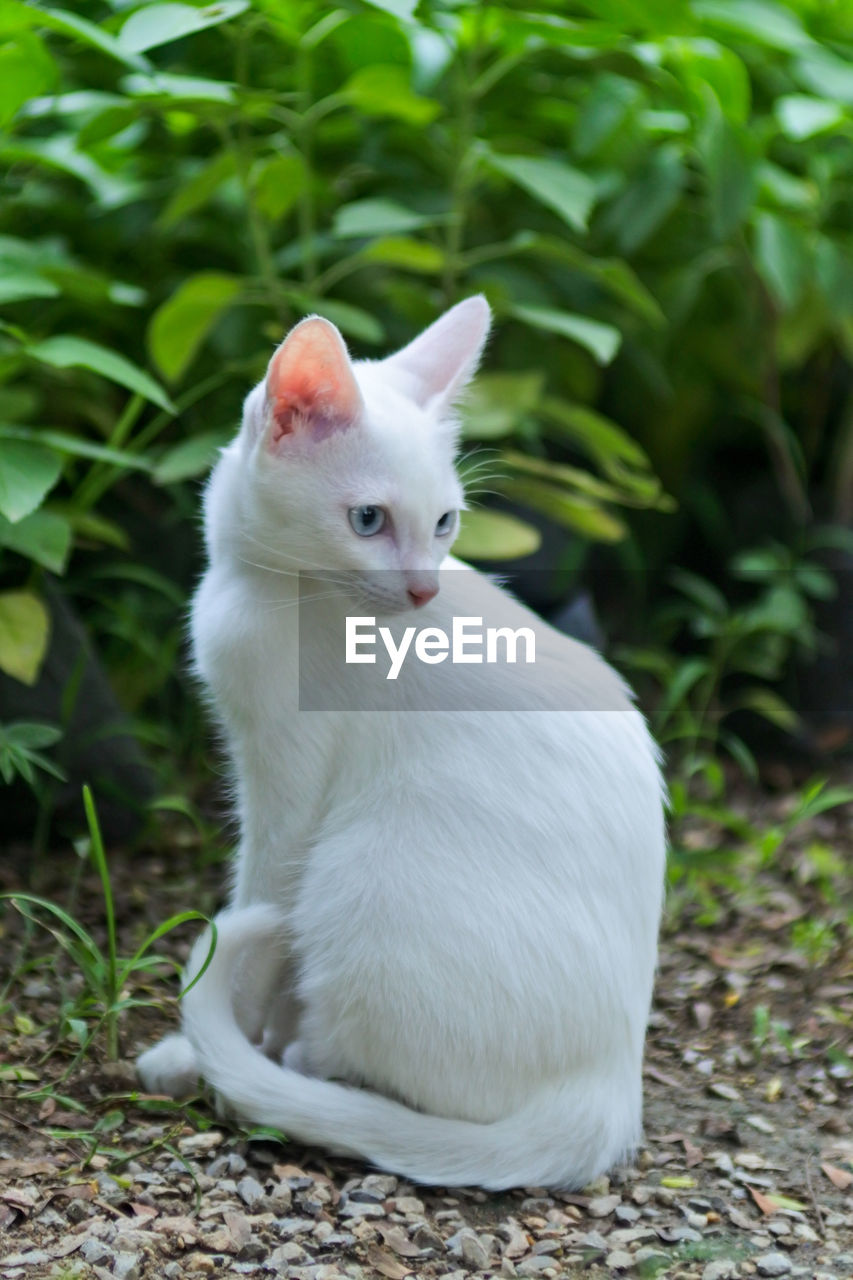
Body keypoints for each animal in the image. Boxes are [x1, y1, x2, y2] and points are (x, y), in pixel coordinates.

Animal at [137, 296, 666, 1187]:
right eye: (368, 520)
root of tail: (607, 1098)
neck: (268, 592)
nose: (422, 589)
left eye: (445, 522)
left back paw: (305, 1075)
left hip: (357, 874)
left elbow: (254, 918)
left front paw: (202, 1054)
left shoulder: (288, 795)